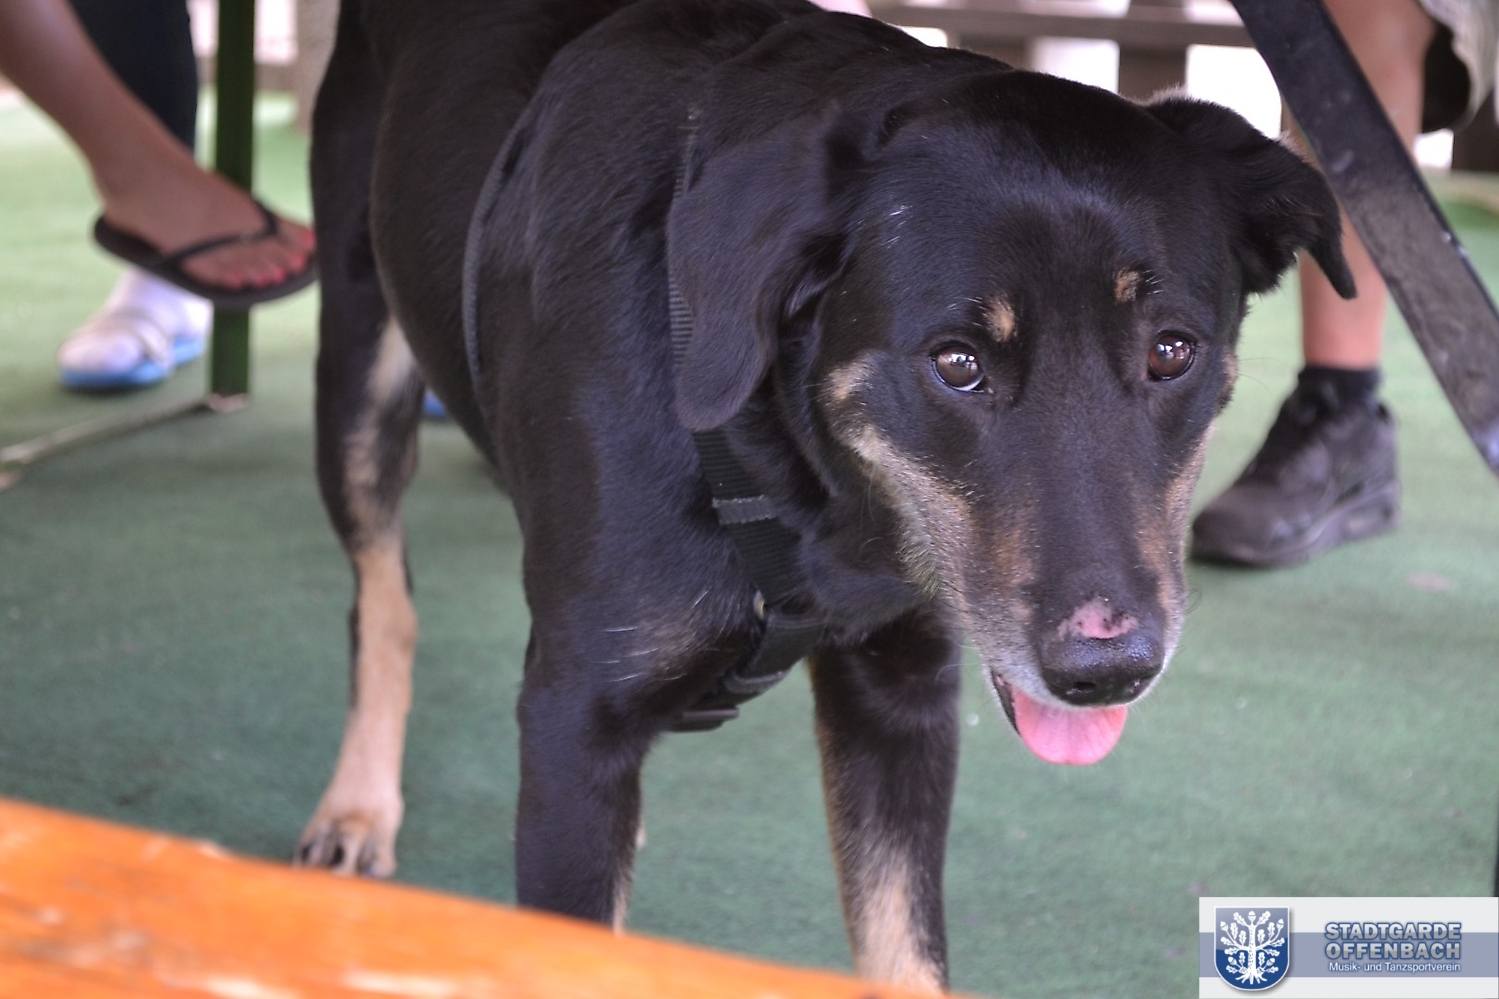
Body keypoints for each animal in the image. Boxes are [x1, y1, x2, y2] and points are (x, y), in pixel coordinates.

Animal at [295, 0, 1352, 990]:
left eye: (1171, 351)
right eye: (956, 363)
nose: (1108, 672)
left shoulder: (898, 690)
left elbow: (904, 951)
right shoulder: (575, 712)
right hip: (356, 374)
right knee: (381, 594)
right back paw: (358, 804)